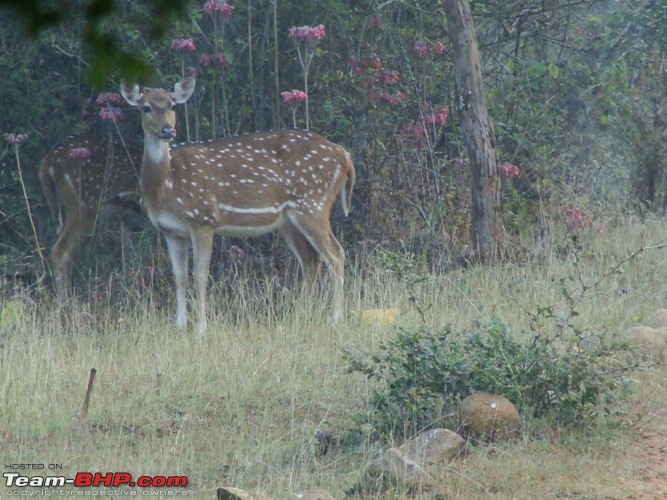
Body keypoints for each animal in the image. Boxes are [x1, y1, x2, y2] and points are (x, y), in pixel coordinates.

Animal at [122, 76, 358, 334]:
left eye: (172, 105)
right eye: (146, 107)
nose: (167, 130)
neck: (166, 186)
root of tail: (345, 156)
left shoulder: (203, 219)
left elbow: (200, 274)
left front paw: (201, 328)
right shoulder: (171, 230)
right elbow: (180, 276)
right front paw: (179, 326)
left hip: (313, 204)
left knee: (335, 254)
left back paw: (336, 317)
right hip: (289, 220)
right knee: (310, 260)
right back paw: (299, 317)